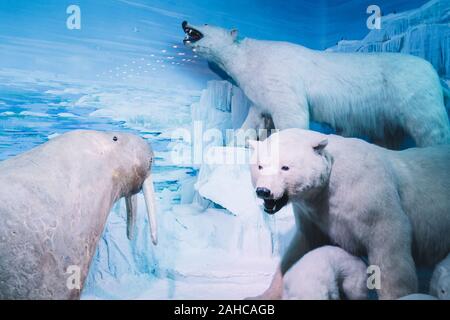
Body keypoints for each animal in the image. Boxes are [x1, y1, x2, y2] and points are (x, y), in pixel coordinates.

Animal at [182, 21, 450, 149]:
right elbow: (254, 118)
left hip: (413, 91)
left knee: (430, 127)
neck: (250, 58)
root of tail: (435, 73)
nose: (184, 22)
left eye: (205, 24)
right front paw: (235, 143)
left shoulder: (278, 75)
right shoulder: (259, 91)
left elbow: (291, 113)